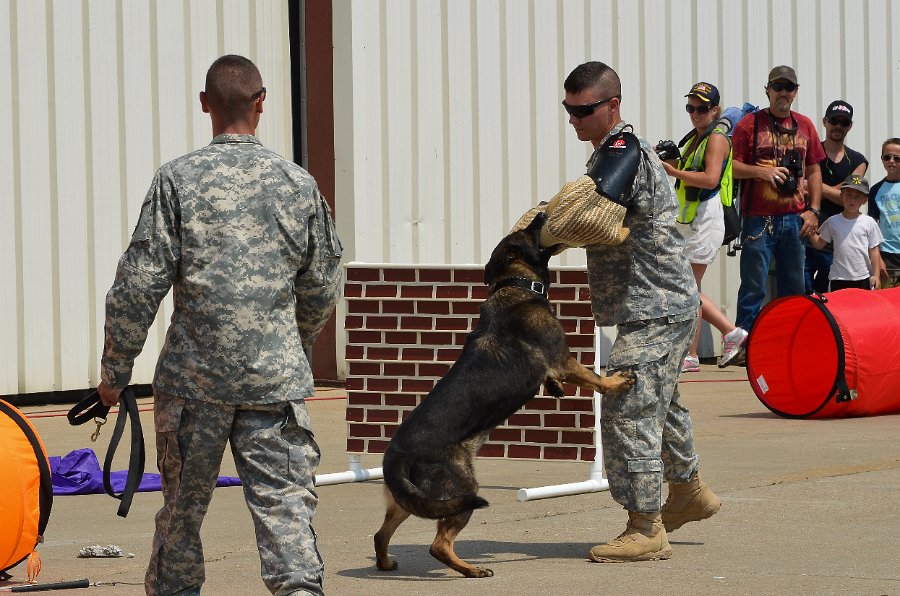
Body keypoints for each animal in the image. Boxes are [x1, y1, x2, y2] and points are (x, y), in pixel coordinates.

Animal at [373, 212, 636, 578]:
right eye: (528, 230)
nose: (541, 212)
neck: (516, 284)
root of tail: (394, 456)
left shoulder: (556, 366)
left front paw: (555, 388)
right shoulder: (563, 359)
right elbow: (594, 378)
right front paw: (616, 382)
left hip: (411, 501)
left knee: (380, 533)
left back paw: (386, 563)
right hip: (460, 491)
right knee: (438, 545)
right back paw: (471, 570)